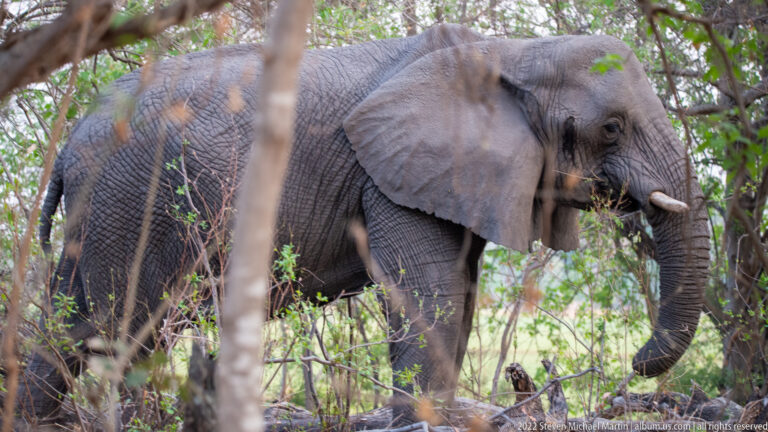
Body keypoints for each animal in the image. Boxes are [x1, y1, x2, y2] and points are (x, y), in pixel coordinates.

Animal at [22, 23, 710, 425]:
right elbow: (432, 293)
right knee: (125, 327)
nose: (637, 367)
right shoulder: (394, 171)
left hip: (101, 211)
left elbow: (460, 294)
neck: (514, 50)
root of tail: (71, 141)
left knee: (69, 323)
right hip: (131, 202)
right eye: (612, 128)